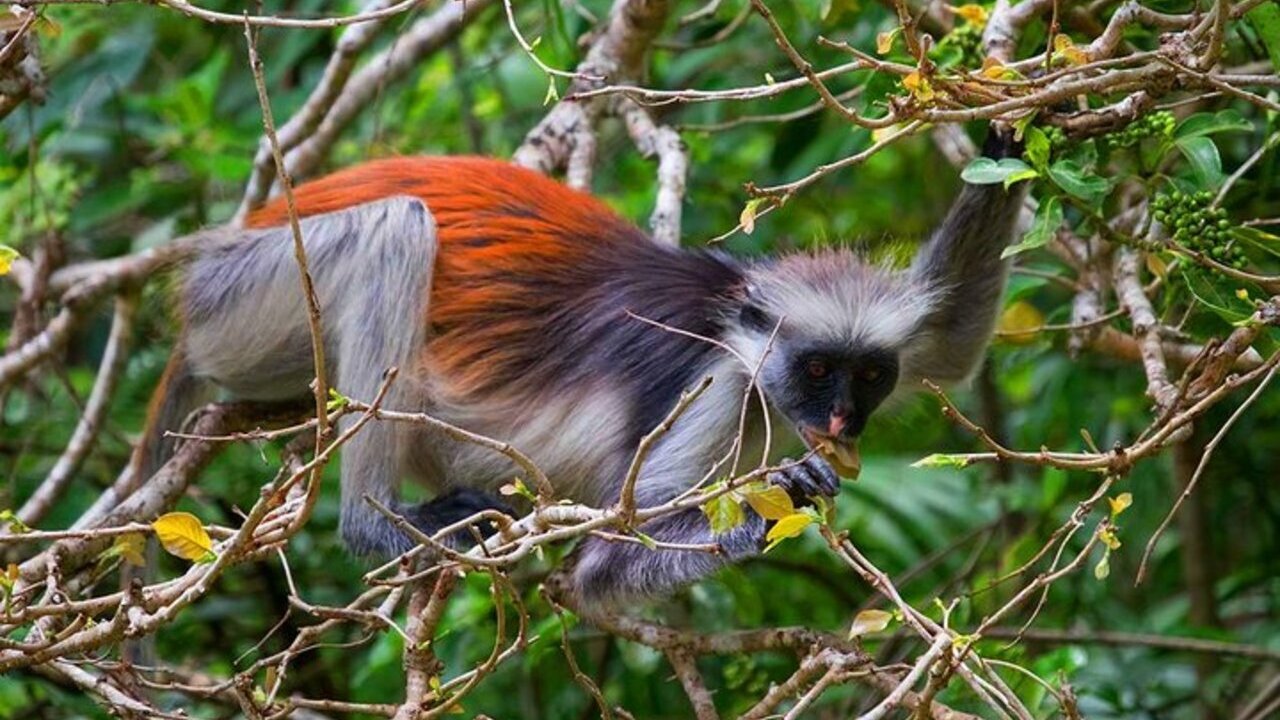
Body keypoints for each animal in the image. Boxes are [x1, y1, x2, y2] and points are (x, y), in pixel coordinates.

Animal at [134, 129, 1026, 606]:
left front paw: (1012, 133)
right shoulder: (711, 386)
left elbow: (948, 341)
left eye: (868, 375)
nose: (843, 417)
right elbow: (601, 569)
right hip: (242, 299)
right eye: (815, 371)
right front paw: (777, 506)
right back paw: (377, 523)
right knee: (396, 227)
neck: (731, 321)